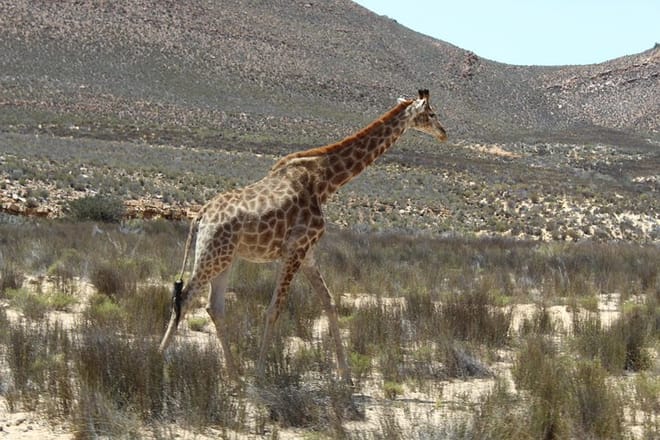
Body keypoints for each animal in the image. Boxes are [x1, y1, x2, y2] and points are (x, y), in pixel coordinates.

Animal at [158, 89, 447, 383]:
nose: (443, 133)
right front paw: (260, 373)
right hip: (212, 255)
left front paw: (346, 375)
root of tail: (201, 215)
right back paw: (158, 361)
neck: (324, 182)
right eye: (431, 113)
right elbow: (274, 309)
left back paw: (234, 376)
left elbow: (329, 302)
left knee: (213, 307)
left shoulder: (307, 253)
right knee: (184, 299)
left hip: (225, 258)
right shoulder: (294, 249)